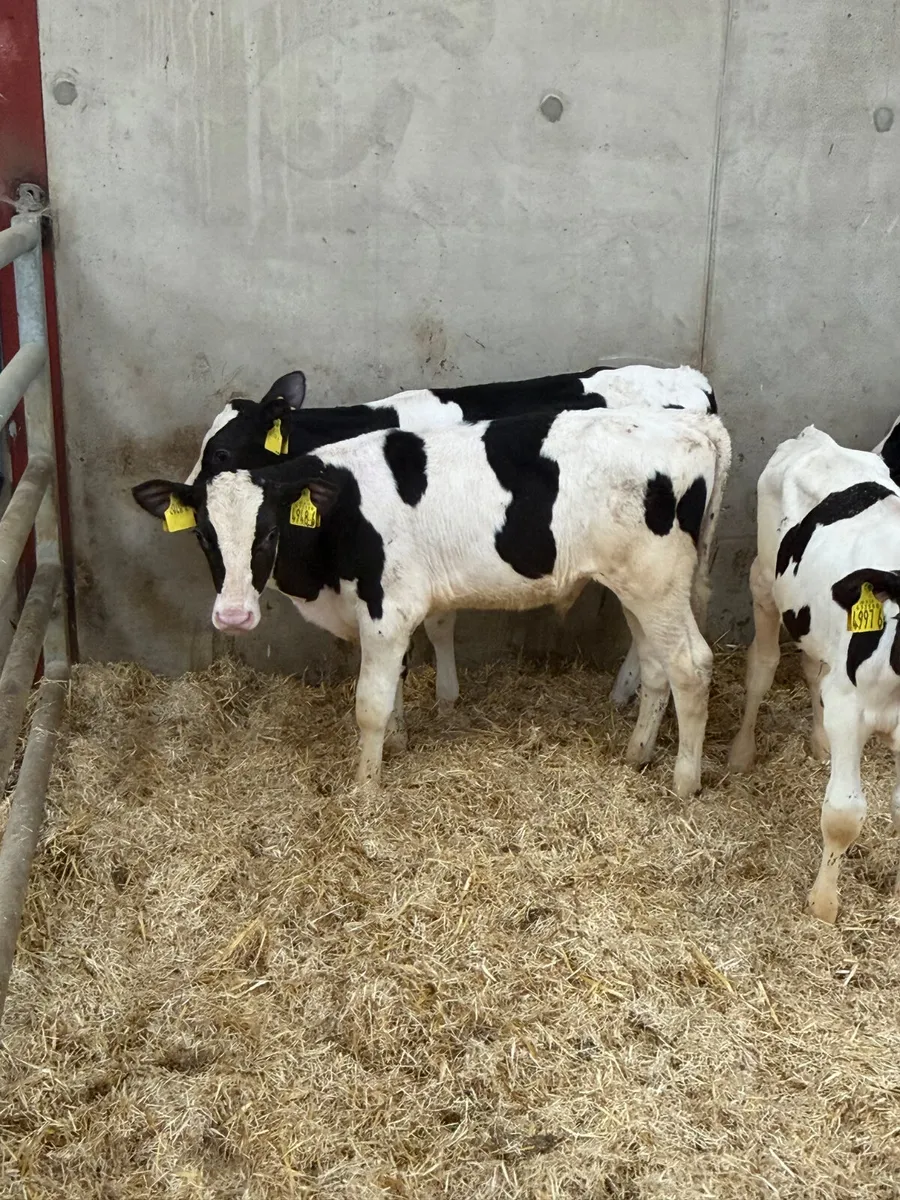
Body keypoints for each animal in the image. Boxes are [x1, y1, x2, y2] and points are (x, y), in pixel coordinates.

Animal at [134, 406, 731, 799]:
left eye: (269, 532)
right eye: (204, 536)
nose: (233, 615)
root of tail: (689, 425)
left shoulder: (386, 608)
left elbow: (369, 703)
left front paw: (365, 789)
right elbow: (394, 685)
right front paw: (397, 743)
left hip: (656, 583)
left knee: (691, 665)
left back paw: (684, 782)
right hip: (639, 587)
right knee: (656, 667)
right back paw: (637, 755)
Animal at [728, 426, 900, 922]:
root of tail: (817, 437)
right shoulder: (849, 708)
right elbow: (843, 815)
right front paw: (823, 903)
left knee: (812, 669)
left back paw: (819, 741)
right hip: (764, 581)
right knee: (762, 668)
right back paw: (741, 754)